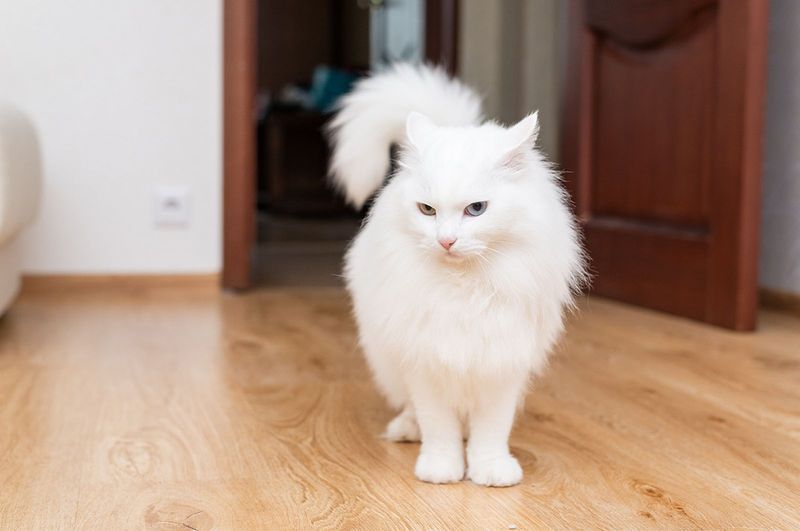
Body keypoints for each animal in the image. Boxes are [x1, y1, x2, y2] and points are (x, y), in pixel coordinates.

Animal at [328, 62, 584, 486]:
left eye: (476, 209)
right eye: (427, 210)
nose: (446, 241)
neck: (464, 287)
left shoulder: (501, 364)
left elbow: (491, 431)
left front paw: (491, 471)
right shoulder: (427, 363)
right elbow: (439, 427)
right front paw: (441, 470)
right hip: (389, 360)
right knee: (413, 409)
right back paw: (406, 430)